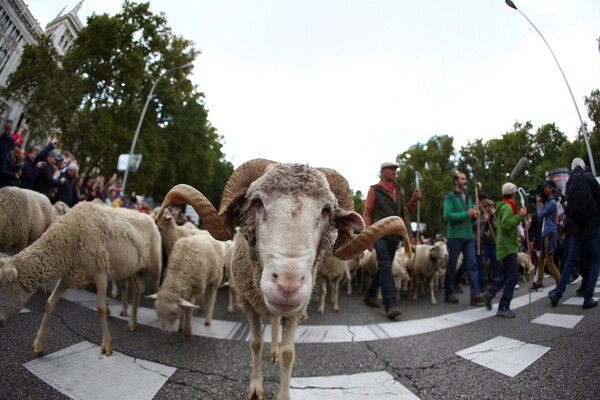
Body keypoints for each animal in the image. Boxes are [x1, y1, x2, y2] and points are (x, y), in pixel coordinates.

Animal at [0, 202, 163, 354]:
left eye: (2, 287)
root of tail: (149, 217)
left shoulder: (100, 273)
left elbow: (101, 308)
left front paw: (107, 345)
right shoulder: (68, 277)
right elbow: (49, 303)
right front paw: (38, 344)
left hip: (155, 266)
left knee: (156, 288)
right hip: (135, 270)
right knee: (137, 290)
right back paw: (132, 322)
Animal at [155, 159, 412, 400]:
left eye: (327, 210)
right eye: (256, 202)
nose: (288, 286)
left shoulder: (296, 312)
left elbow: (289, 353)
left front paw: (283, 389)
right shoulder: (249, 305)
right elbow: (255, 344)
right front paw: (256, 387)